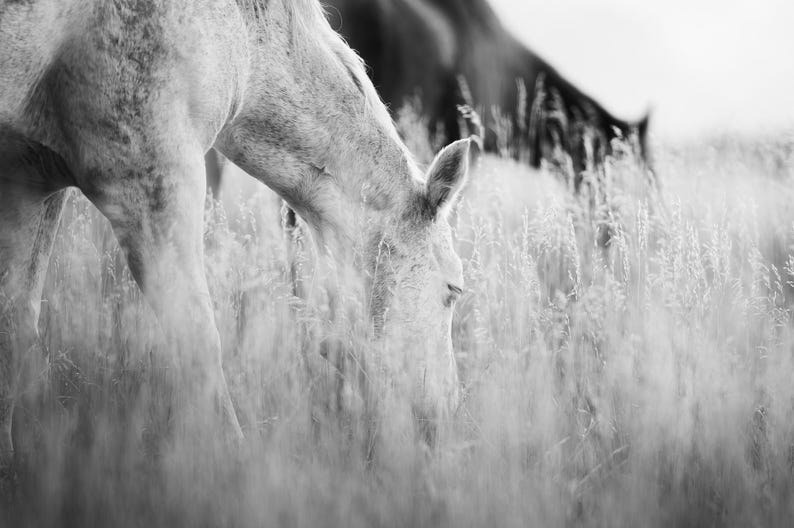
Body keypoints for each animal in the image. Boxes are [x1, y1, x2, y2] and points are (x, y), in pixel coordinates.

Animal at [0, 0, 470, 466]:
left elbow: (15, 328)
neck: (244, 39)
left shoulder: (30, 185)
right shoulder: (149, 182)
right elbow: (198, 341)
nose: (446, 415)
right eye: (454, 290)